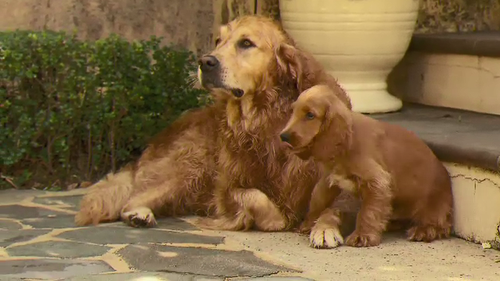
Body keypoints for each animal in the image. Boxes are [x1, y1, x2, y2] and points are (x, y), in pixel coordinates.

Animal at [76, 14, 354, 230]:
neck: (266, 119)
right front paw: (269, 219)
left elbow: (330, 206)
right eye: (218, 41)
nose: (205, 62)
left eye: (246, 43)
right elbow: (254, 197)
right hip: (189, 166)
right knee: (131, 199)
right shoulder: (226, 187)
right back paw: (138, 214)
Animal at [282, 84, 454, 246]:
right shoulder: (329, 179)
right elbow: (318, 200)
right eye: (293, 112)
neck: (346, 144)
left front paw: (362, 236)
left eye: (310, 115)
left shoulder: (377, 181)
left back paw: (423, 230)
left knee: (440, 224)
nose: (283, 136)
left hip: (431, 206)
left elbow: (368, 211)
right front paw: (309, 224)